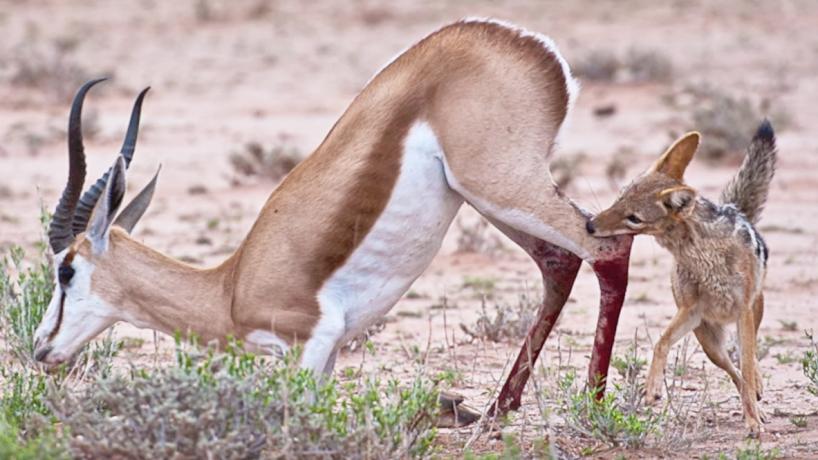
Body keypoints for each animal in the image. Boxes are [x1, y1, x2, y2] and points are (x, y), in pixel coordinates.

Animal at [33, 18, 632, 416]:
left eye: (65, 270)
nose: (40, 347)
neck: (229, 289)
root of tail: (525, 42)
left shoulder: (311, 343)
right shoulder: (327, 354)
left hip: (497, 185)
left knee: (605, 248)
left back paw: (593, 402)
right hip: (484, 197)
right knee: (560, 262)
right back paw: (496, 411)